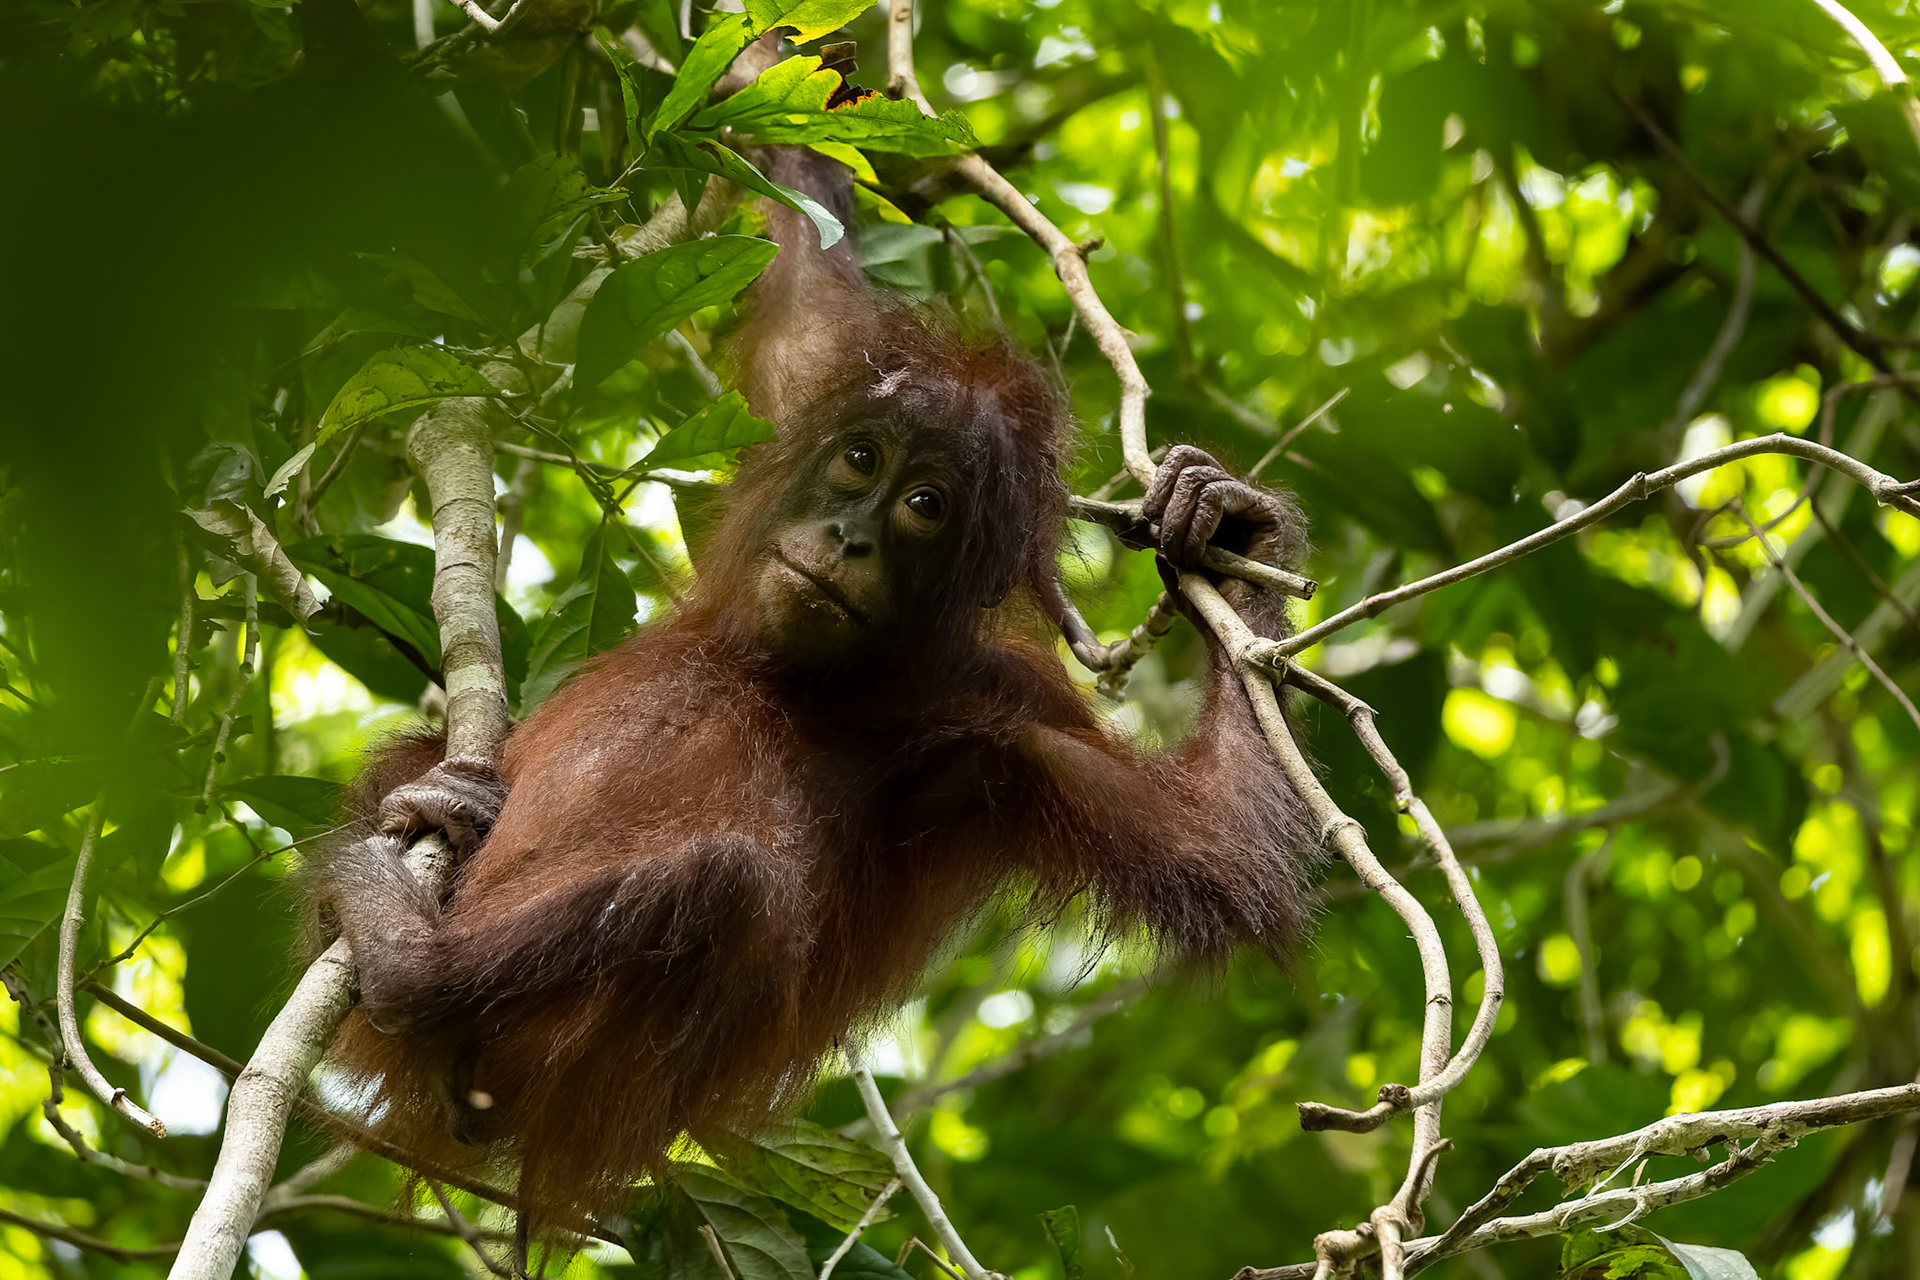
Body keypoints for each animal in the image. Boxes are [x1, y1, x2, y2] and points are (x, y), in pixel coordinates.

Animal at [304, 144, 1316, 1237]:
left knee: (723, 879)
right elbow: (807, 276)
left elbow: (1214, 848)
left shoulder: (998, 713)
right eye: (860, 460)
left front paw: (1240, 528)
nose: (850, 536)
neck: (780, 666)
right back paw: (436, 808)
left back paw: (410, 966)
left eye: (925, 506)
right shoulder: (814, 388)